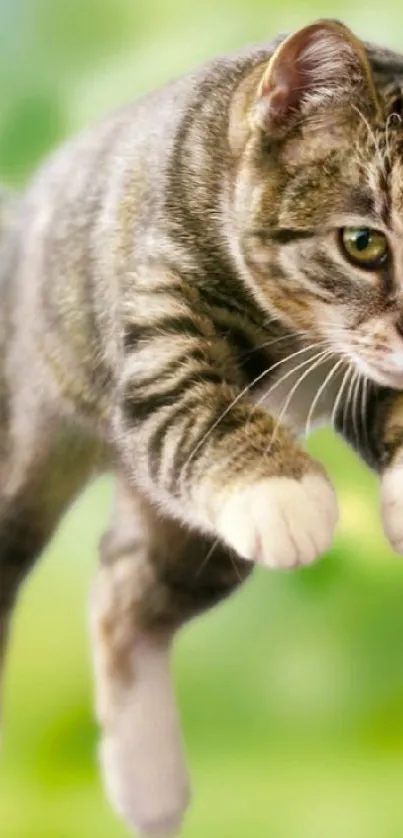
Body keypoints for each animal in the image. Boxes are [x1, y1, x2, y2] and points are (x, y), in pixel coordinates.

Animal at [2, 18, 403, 838]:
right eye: (362, 242)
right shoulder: (159, 301)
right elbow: (185, 394)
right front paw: (278, 484)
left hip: (191, 547)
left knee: (122, 591)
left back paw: (147, 777)